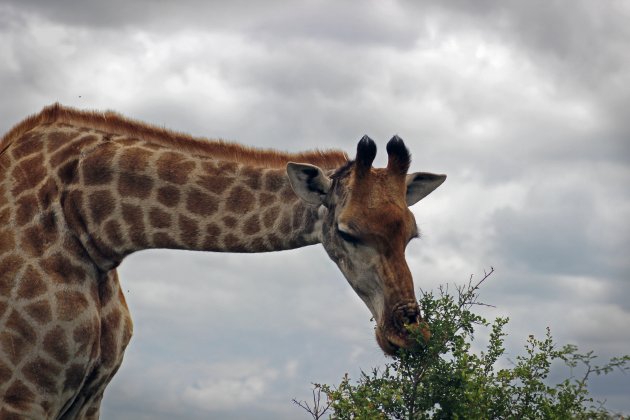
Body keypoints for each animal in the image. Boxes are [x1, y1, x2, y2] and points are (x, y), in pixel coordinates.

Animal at [0, 104, 446, 416]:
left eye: (411, 235)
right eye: (347, 232)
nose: (409, 335)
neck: (91, 231)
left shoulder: (90, 398)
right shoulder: (21, 394)